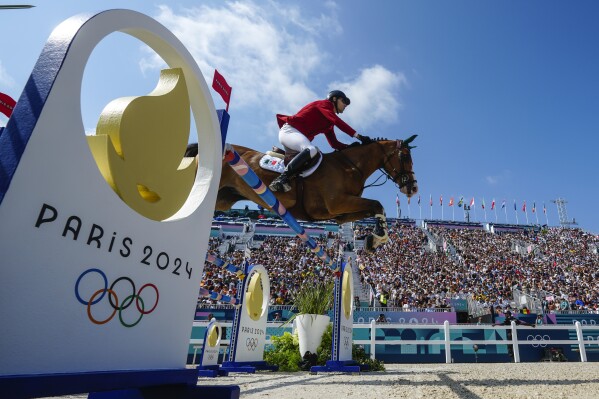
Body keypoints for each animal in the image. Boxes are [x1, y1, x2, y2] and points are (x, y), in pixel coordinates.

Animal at [213, 136, 420, 252]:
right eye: (404, 156)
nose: (412, 188)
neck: (350, 167)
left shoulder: (340, 214)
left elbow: (376, 208)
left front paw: (375, 238)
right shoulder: (337, 203)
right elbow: (377, 204)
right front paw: (378, 237)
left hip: (223, 199)